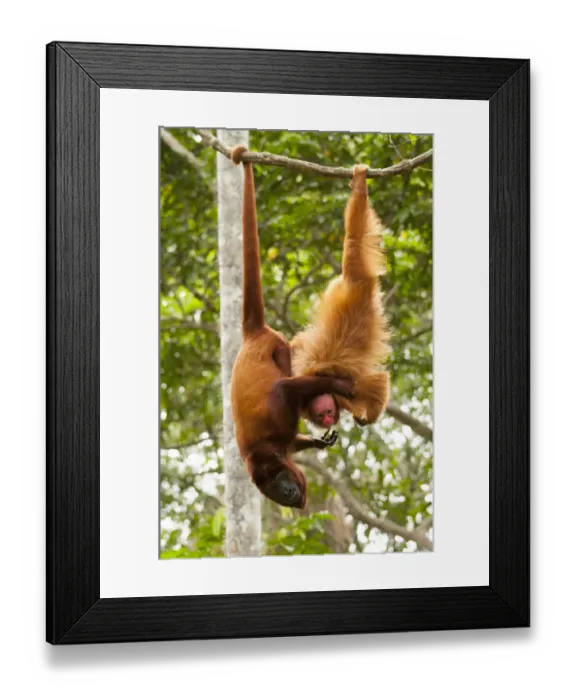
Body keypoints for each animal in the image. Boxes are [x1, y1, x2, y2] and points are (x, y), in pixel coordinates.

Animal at [228, 145, 355, 509]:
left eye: (279, 482)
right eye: (275, 492)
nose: (287, 494)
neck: (264, 454)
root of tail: (251, 334)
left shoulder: (277, 420)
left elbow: (285, 390)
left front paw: (342, 386)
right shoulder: (282, 443)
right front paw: (316, 441)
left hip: (277, 345)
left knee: (287, 368)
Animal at [290, 164, 391, 430]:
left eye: (325, 412)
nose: (326, 420)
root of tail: (354, 287)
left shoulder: (340, 385)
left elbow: (378, 385)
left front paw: (369, 417)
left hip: (356, 276)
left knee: (353, 240)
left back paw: (359, 188)